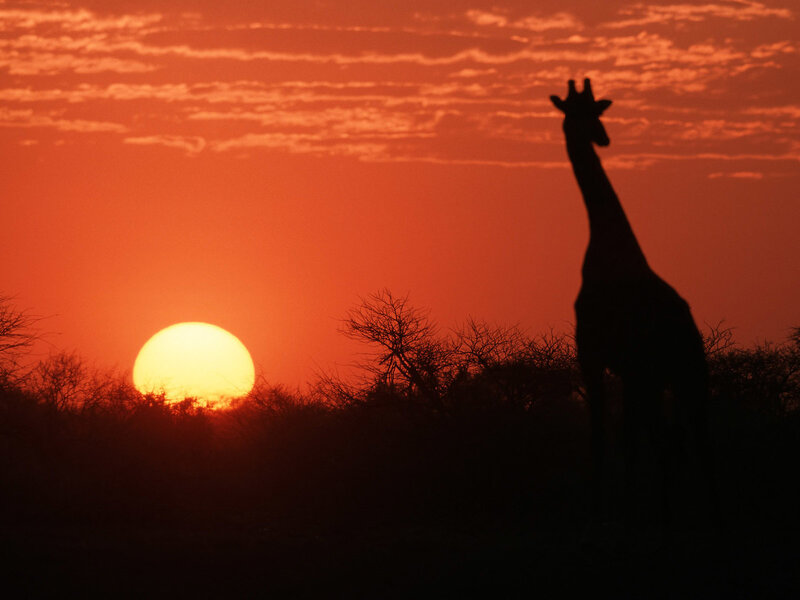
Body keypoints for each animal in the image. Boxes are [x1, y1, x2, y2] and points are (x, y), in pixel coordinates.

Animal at [550, 79, 713, 527]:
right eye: (575, 112)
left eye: (598, 112)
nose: (602, 138)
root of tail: (689, 328)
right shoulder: (617, 365)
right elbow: (617, 438)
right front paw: (616, 509)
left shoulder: (601, 356)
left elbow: (609, 438)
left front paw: (605, 511)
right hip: (671, 373)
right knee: (678, 437)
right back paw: (679, 512)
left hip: (671, 371)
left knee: (679, 438)